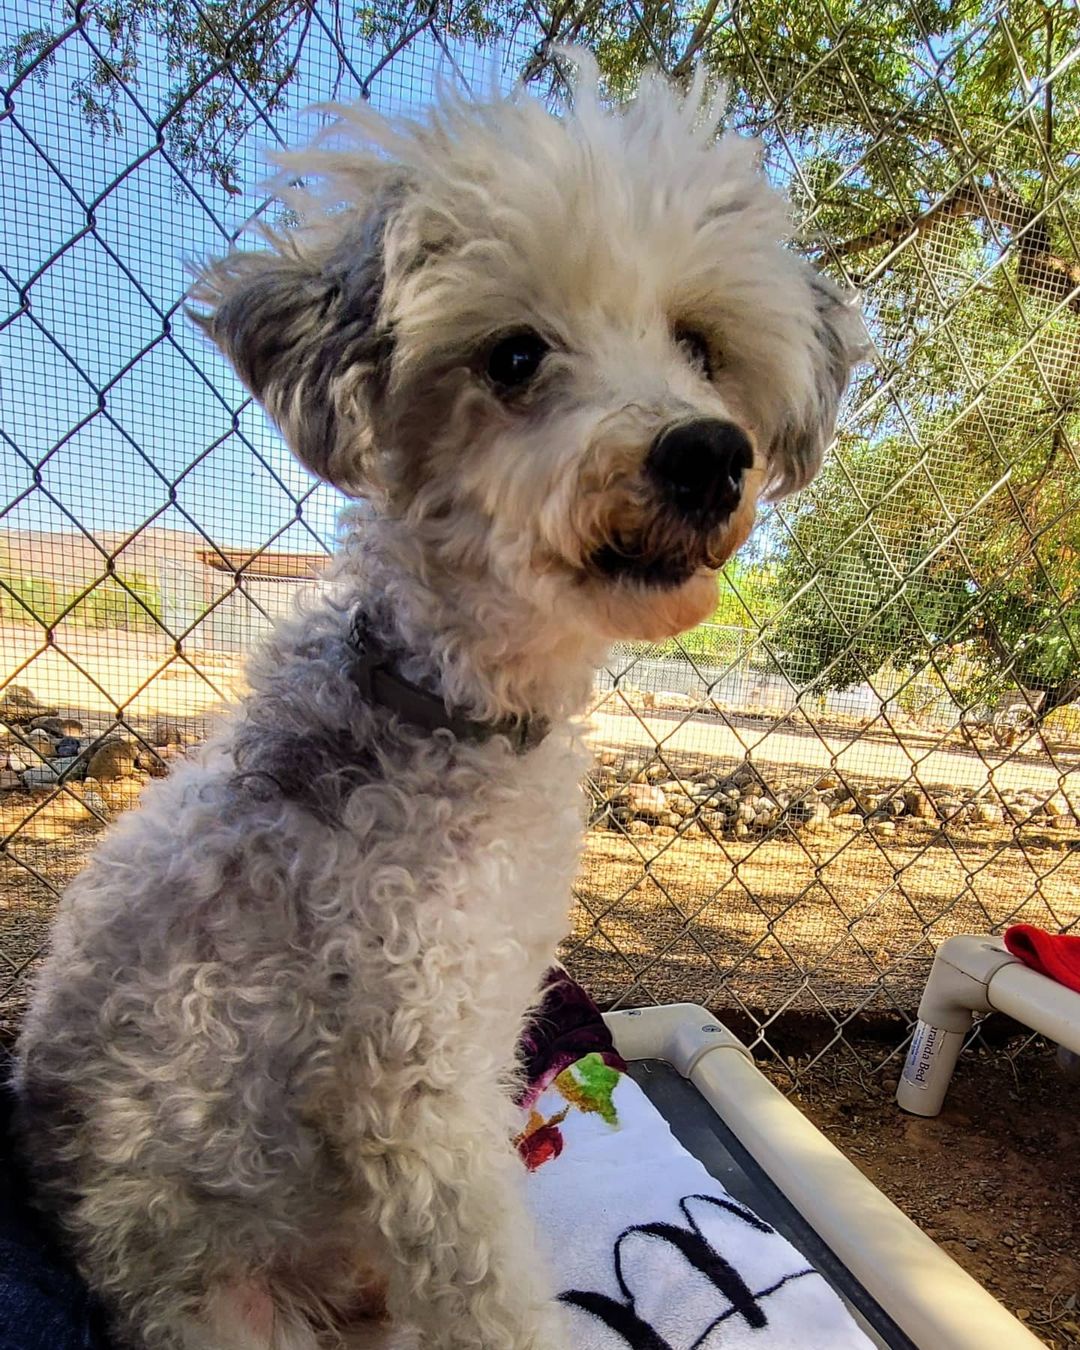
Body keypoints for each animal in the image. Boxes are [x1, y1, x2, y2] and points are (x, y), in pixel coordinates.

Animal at [12, 58, 864, 1350]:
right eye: (512, 358)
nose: (708, 454)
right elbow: (487, 1297)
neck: (457, 711)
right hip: (231, 1310)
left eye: (700, 345)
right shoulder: (415, 1091)